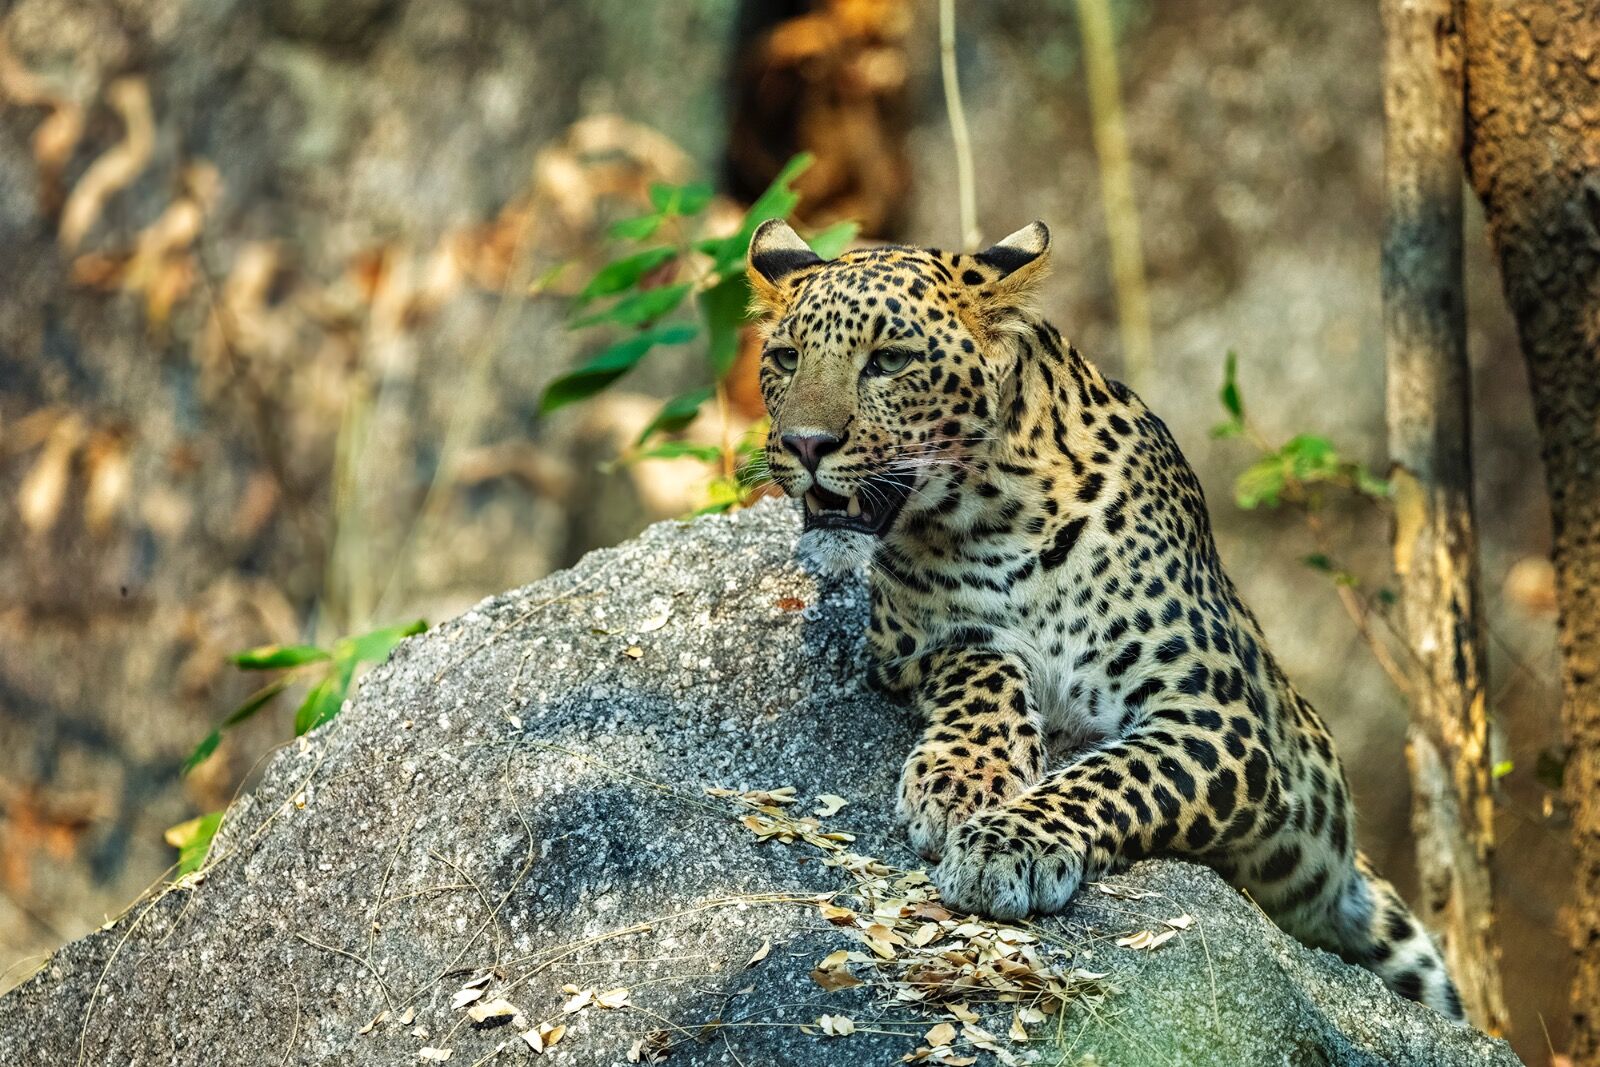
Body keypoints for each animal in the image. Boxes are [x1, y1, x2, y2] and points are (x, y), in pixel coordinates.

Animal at [745, 217, 1465, 1022]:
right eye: (785, 357)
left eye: (889, 361)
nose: (804, 444)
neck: (988, 518)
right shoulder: (908, 646)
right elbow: (979, 660)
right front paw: (964, 777)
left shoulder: (1217, 715)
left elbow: (1113, 772)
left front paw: (1004, 846)